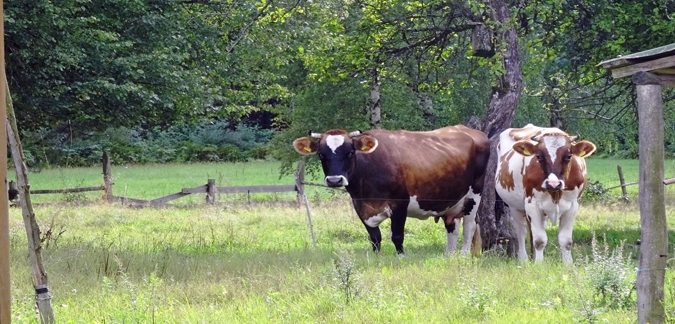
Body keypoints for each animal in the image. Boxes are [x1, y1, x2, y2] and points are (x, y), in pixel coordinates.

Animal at [294, 126, 488, 256]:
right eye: (321, 154)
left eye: (350, 152)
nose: (335, 180)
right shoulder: (361, 207)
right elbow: (374, 237)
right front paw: (376, 257)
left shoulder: (400, 204)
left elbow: (397, 236)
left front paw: (400, 256)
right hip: (450, 200)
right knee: (452, 226)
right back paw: (449, 255)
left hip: (474, 195)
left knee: (469, 226)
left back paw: (463, 255)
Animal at [496, 124, 596, 264]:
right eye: (539, 156)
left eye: (568, 156)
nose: (553, 184)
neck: (556, 193)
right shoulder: (532, 204)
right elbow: (539, 240)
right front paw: (538, 264)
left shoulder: (573, 205)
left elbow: (566, 242)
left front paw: (568, 264)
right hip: (515, 206)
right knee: (521, 232)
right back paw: (524, 260)